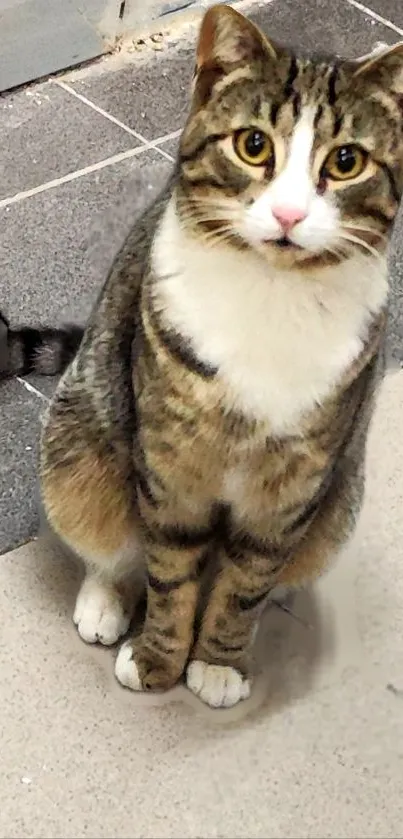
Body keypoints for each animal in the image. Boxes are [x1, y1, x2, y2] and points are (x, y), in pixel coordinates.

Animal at [38, 6, 403, 708]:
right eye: (253, 145)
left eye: (346, 161)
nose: (288, 214)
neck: (271, 295)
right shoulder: (170, 468)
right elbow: (169, 570)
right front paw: (159, 659)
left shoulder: (291, 492)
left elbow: (245, 585)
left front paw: (218, 662)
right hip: (80, 442)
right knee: (111, 544)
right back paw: (104, 601)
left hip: (336, 510)